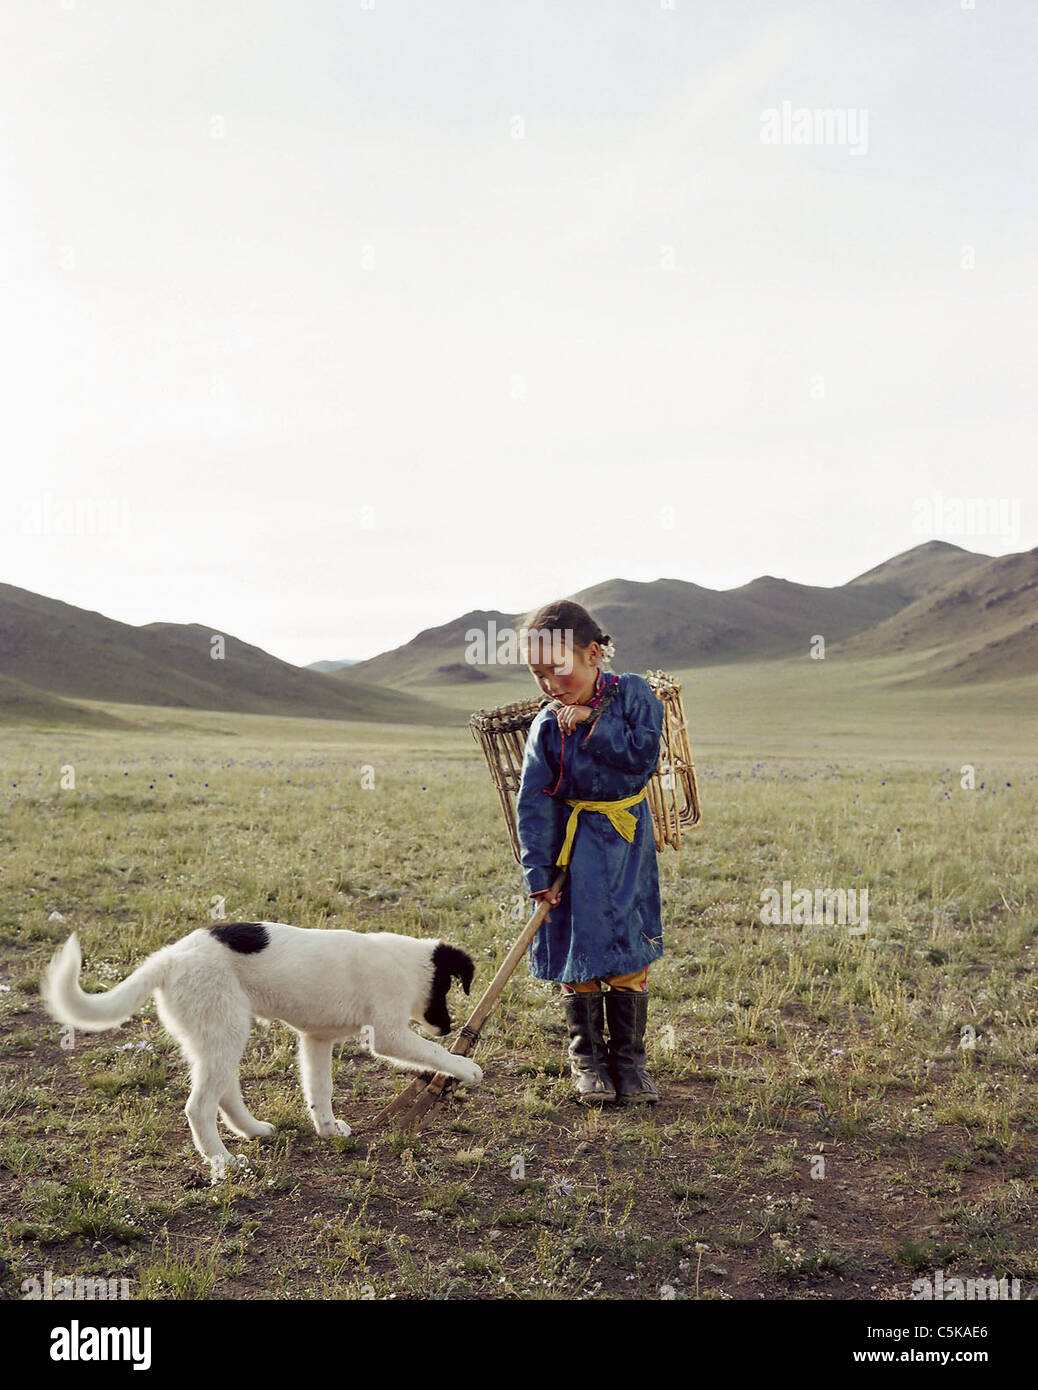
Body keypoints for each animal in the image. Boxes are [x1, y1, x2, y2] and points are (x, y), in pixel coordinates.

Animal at [39, 922, 478, 1173]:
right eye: (447, 988)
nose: (449, 1026)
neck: (411, 965)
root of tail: (169, 958)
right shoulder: (387, 1034)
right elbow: (433, 1053)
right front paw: (466, 1067)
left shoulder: (316, 1039)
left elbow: (320, 1090)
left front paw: (327, 1130)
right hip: (226, 1027)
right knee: (199, 1105)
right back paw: (222, 1161)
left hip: (217, 1032)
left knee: (224, 1092)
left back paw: (253, 1130)